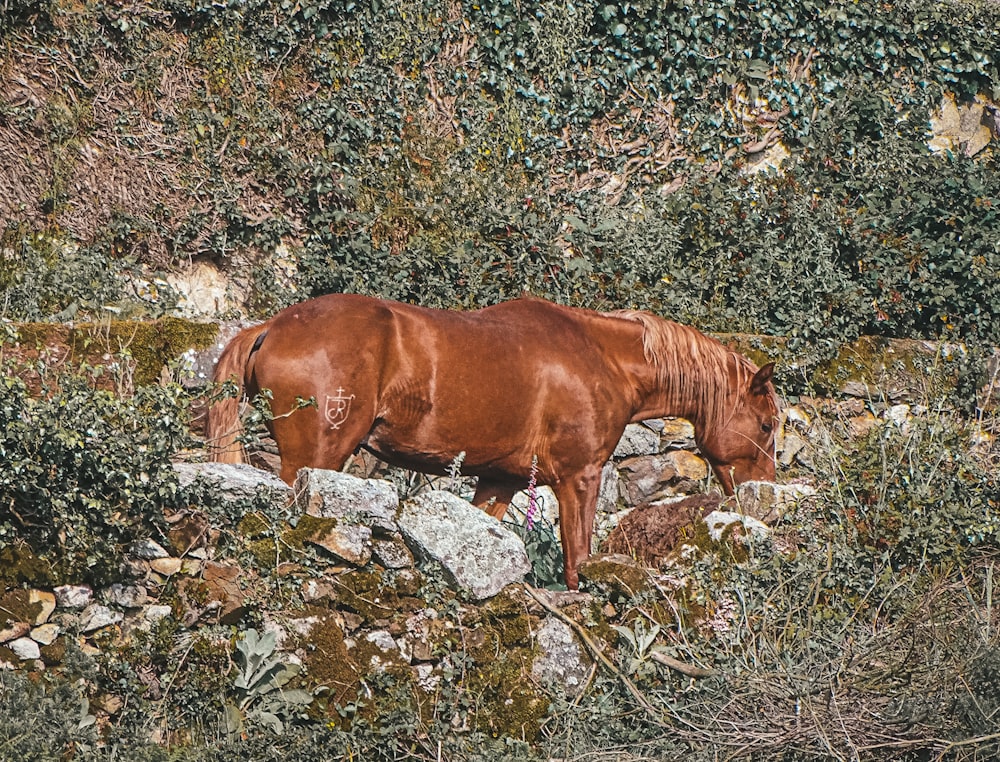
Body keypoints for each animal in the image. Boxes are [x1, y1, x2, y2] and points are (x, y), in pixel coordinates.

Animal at [207, 294, 776, 584]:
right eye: (768, 425)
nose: (764, 496)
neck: (599, 356)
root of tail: (271, 327)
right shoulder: (579, 479)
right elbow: (577, 561)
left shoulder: (498, 482)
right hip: (317, 457)